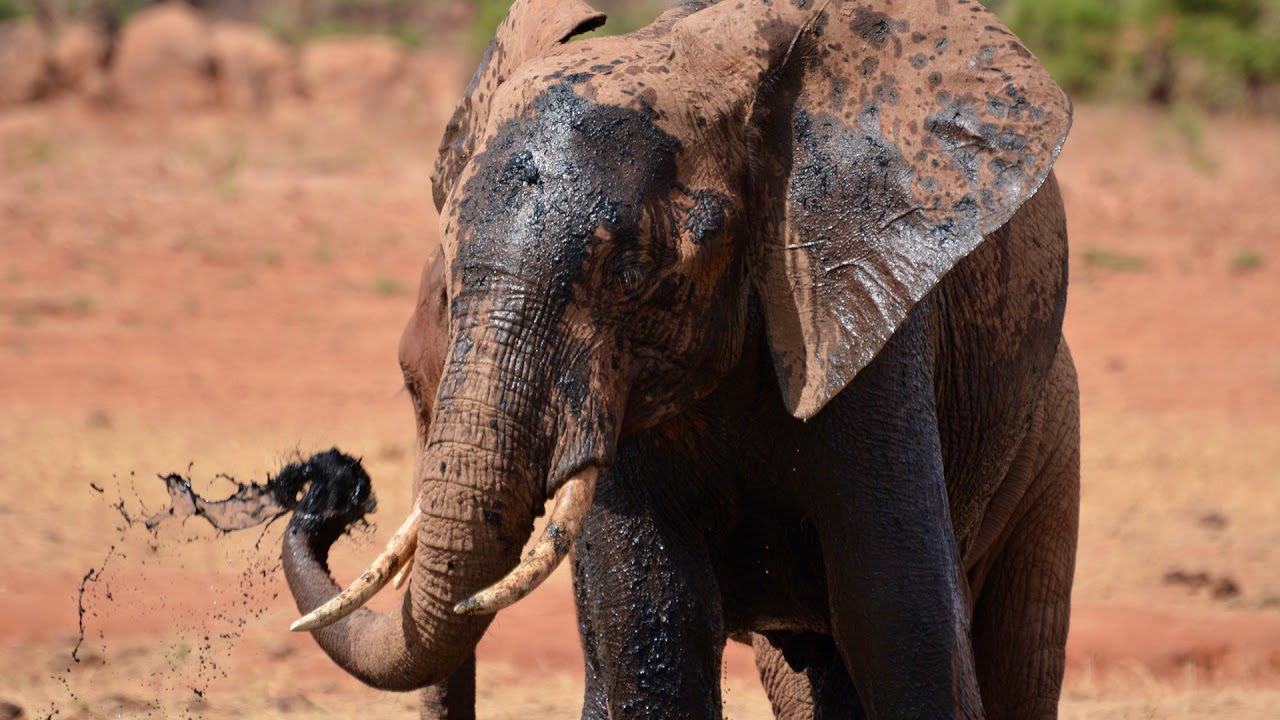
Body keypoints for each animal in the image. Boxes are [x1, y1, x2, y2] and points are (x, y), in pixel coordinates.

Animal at [281, 0, 1080, 718]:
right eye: (408, 386)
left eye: (632, 272)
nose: (330, 486)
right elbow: (652, 637)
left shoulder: (867, 330)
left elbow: (901, 624)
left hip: (1052, 431)